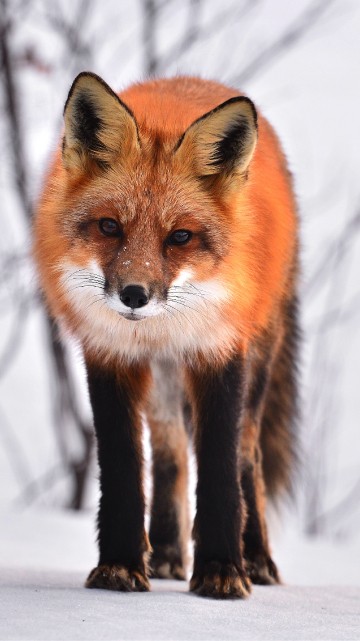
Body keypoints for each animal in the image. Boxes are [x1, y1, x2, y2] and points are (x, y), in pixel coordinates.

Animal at [33, 72, 298, 596]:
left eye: (180, 237)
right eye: (109, 226)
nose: (134, 295)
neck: (160, 329)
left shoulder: (219, 352)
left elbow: (219, 468)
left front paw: (221, 570)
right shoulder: (110, 355)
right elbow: (123, 468)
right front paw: (119, 565)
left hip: (257, 360)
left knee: (248, 456)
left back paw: (256, 557)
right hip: (162, 384)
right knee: (170, 454)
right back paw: (169, 553)